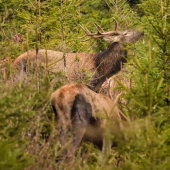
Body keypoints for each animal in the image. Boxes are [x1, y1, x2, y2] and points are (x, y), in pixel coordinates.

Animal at [13, 19, 143, 91]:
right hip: (24, 77)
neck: (101, 70)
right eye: (126, 33)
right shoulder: (85, 81)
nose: (142, 31)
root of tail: (15, 61)